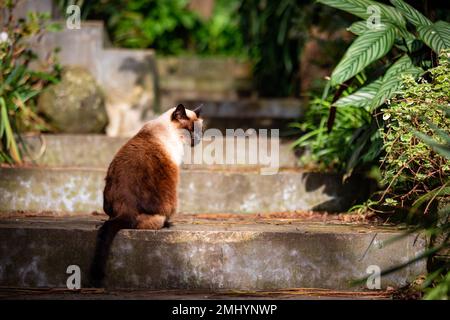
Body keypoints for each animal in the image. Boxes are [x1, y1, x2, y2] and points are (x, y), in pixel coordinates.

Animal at [89, 104, 202, 286]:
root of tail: (124, 210)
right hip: (164, 208)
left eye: (199, 131)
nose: (197, 140)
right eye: (191, 130)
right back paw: (168, 224)